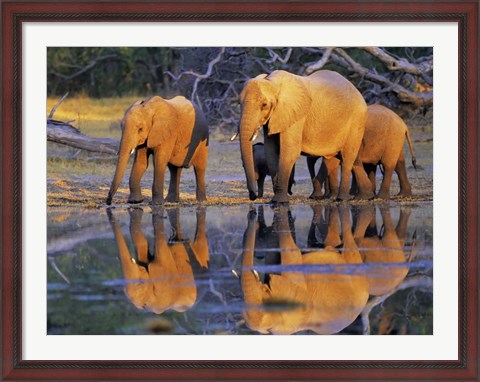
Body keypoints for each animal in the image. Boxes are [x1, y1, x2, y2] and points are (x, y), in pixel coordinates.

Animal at [238, 70, 374, 204]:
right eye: (240, 103)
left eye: (264, 105)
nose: (253, 196)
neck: (272, 82)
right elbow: (271, 151)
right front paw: (275, 200)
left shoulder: (296, 116)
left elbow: (290, 151)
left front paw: (279, 202)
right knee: (343, 158)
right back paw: (365, 197)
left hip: (357, 120)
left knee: (347, 157)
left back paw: (342, 199)